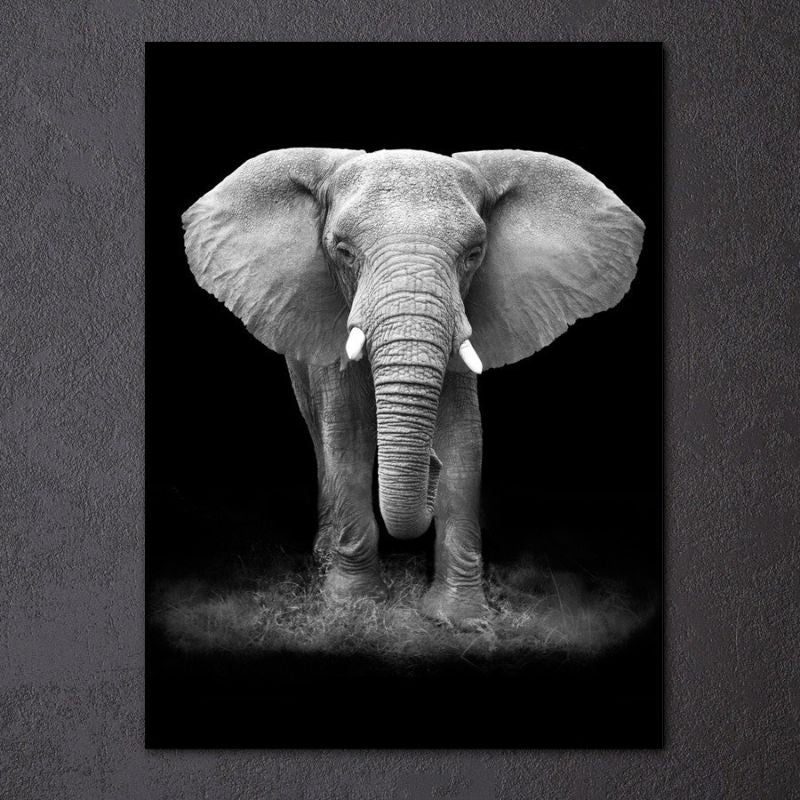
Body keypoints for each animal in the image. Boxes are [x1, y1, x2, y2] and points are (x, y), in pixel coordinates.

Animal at [182, 148, 644, 627]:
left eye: (474, 254)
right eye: (343, 251)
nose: (429, 467)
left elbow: (463, 438)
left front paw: (459, 618)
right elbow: (347, 434)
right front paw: (353, 606)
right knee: (320, 431)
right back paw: (325, 558)